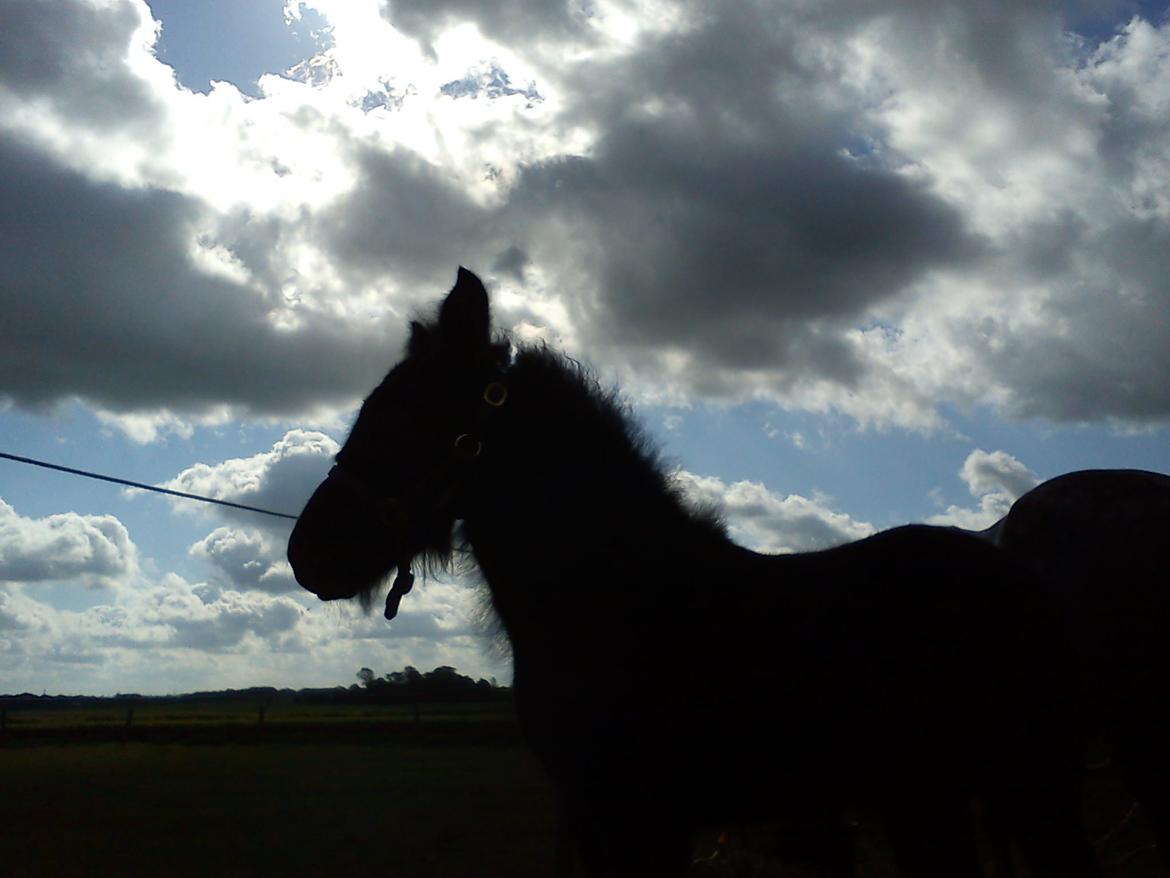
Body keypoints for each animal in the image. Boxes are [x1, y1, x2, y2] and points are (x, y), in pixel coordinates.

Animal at [287, 268, 1102, 877]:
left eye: (406, 415)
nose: (308, 552)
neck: (620, 597)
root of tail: (1020, 577)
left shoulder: (638, 823)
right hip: (929, 798)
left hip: (1030, 785)